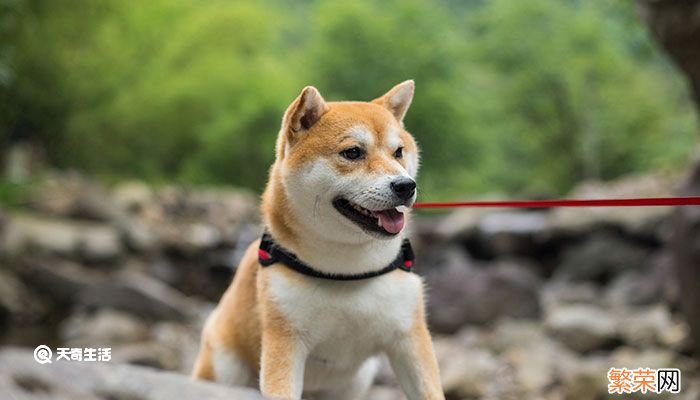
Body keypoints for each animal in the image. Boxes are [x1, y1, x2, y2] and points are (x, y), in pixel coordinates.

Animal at [191, 81, 442, 400]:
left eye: (398, 152)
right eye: (352, 152)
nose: (405, 186)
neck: (347, 271)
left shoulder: (409, 337)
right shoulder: (285, 340)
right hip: (224, 367)